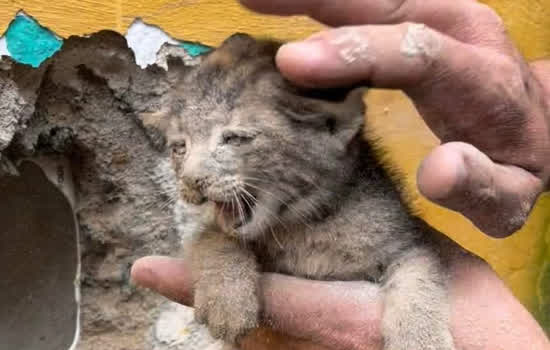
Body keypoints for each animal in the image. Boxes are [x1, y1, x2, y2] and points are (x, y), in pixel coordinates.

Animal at [149, 33, 464, 350]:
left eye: (234, 139)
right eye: (179, 148)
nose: (190, 180)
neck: (306, 226)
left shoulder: (409, 242)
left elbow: (419, 278)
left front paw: (421, 339)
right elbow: (211, 236)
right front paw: (226, 300)